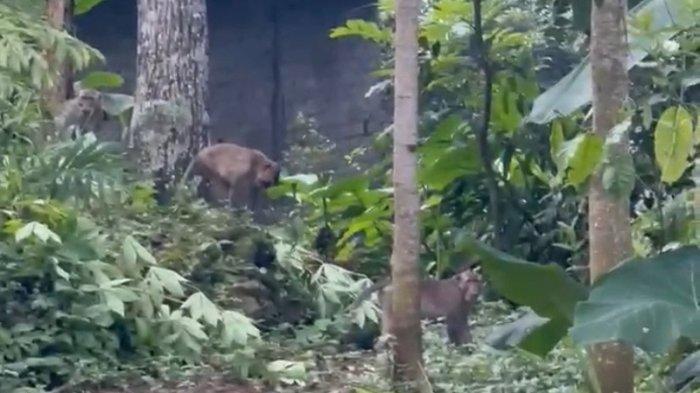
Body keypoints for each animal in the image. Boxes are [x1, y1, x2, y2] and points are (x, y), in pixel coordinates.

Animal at [350, 264, 482, 344]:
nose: (475, 290)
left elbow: (462, 322)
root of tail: (390, 281)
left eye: (476, 281)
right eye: (469, 281)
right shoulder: (454, 298)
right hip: (391, 299)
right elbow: (455, 324)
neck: (460, 289)